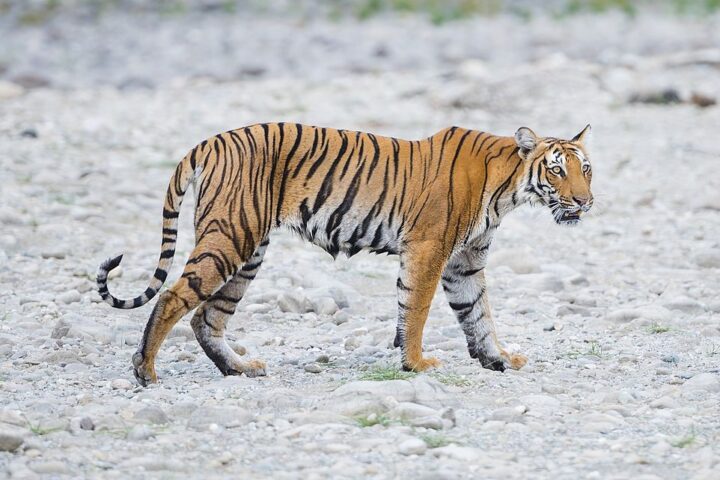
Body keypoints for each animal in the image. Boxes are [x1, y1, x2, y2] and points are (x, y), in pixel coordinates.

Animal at [95, 123, 592, 386]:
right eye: (556, 171)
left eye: (585, 169)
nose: (584, 201)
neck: (507, 190)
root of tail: (210, 141)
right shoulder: (429, 251)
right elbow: (417, 310)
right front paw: (416, 363)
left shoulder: (464, 263)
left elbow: (479, 314)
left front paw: (499, 359)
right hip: (229, 237)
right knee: (173, 298)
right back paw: (146, 371)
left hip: (248, 251)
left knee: (206, 317)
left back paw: (239, 368)